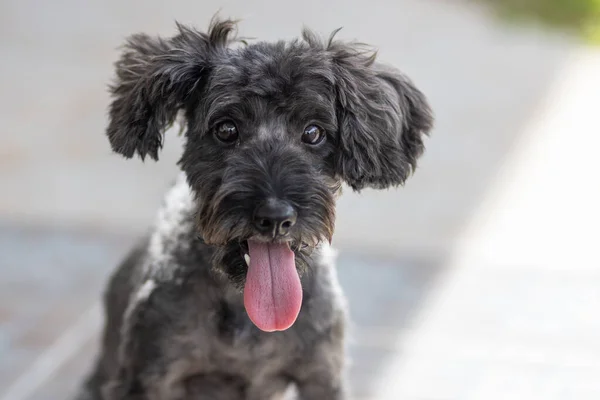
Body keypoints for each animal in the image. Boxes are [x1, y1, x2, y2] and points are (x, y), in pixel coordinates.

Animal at [76, 17, 432, 398]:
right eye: (226, 129)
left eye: (314, 132)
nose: (275, 217)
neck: (246, 306)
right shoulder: (149, 376)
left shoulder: (322, 375)